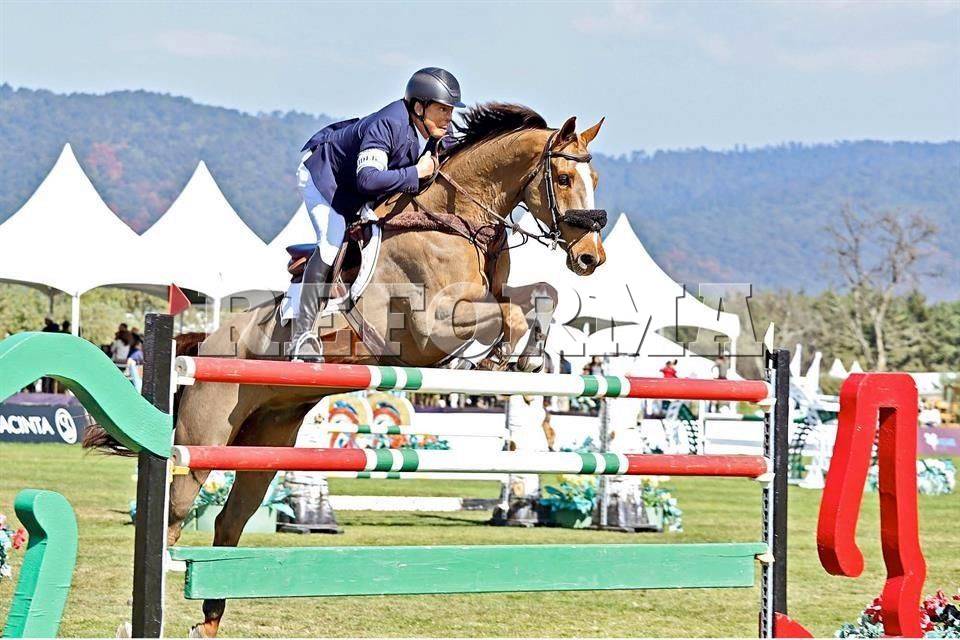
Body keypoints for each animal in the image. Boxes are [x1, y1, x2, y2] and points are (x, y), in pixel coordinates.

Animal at [92, 101, 608, 636]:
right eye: (564, 177)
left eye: (593, 177)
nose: (591, 257)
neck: (455, 219)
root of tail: (202, 340)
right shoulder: (432, 325)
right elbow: (507, 314)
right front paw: (492, 356)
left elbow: (540, 294)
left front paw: (527, 356)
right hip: (202, 442)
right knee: (174, 516)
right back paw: (136, 622)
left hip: (266, 444)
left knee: (229, 521)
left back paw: (209, 622)